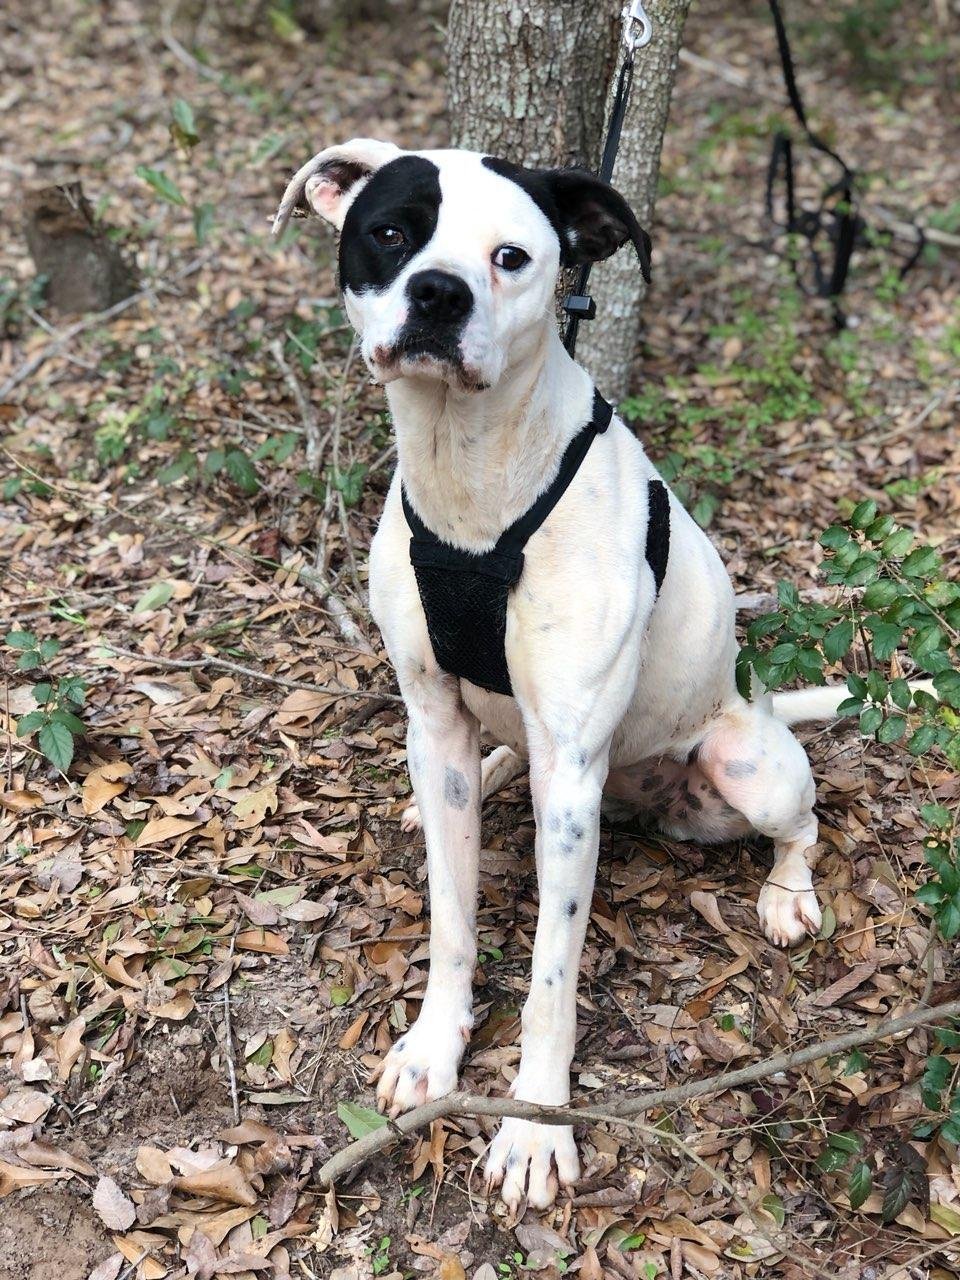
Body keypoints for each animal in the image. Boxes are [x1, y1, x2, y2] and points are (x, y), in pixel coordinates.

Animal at [273, 142, 855, 1208]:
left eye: (512, 256)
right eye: (392, 230)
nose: (439, 293)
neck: (470, 475)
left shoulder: (575, 772)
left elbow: (552, 973)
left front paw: (534, 1126)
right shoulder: (437, 719)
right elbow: (453, 920)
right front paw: (436, 1047)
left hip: (746, 766)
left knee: (802, 821)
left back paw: (788, 893)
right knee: (495, 765)